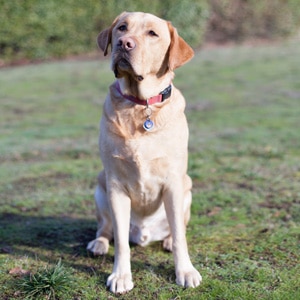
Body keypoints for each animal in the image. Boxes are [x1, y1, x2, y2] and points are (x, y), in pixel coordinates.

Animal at [86, 11, 202, 292]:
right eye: (121, 28)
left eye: (152, 33)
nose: (124, 43)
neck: (140, 106)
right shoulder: (116, 186)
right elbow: (120, 242)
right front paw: (120, 276)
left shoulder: (174, 183)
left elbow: (181, 237)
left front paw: (185, 271)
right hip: (100, 189)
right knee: (105, 229)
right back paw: (99, 244)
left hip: (187, 189)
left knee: (176, 228)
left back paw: (167, 240)